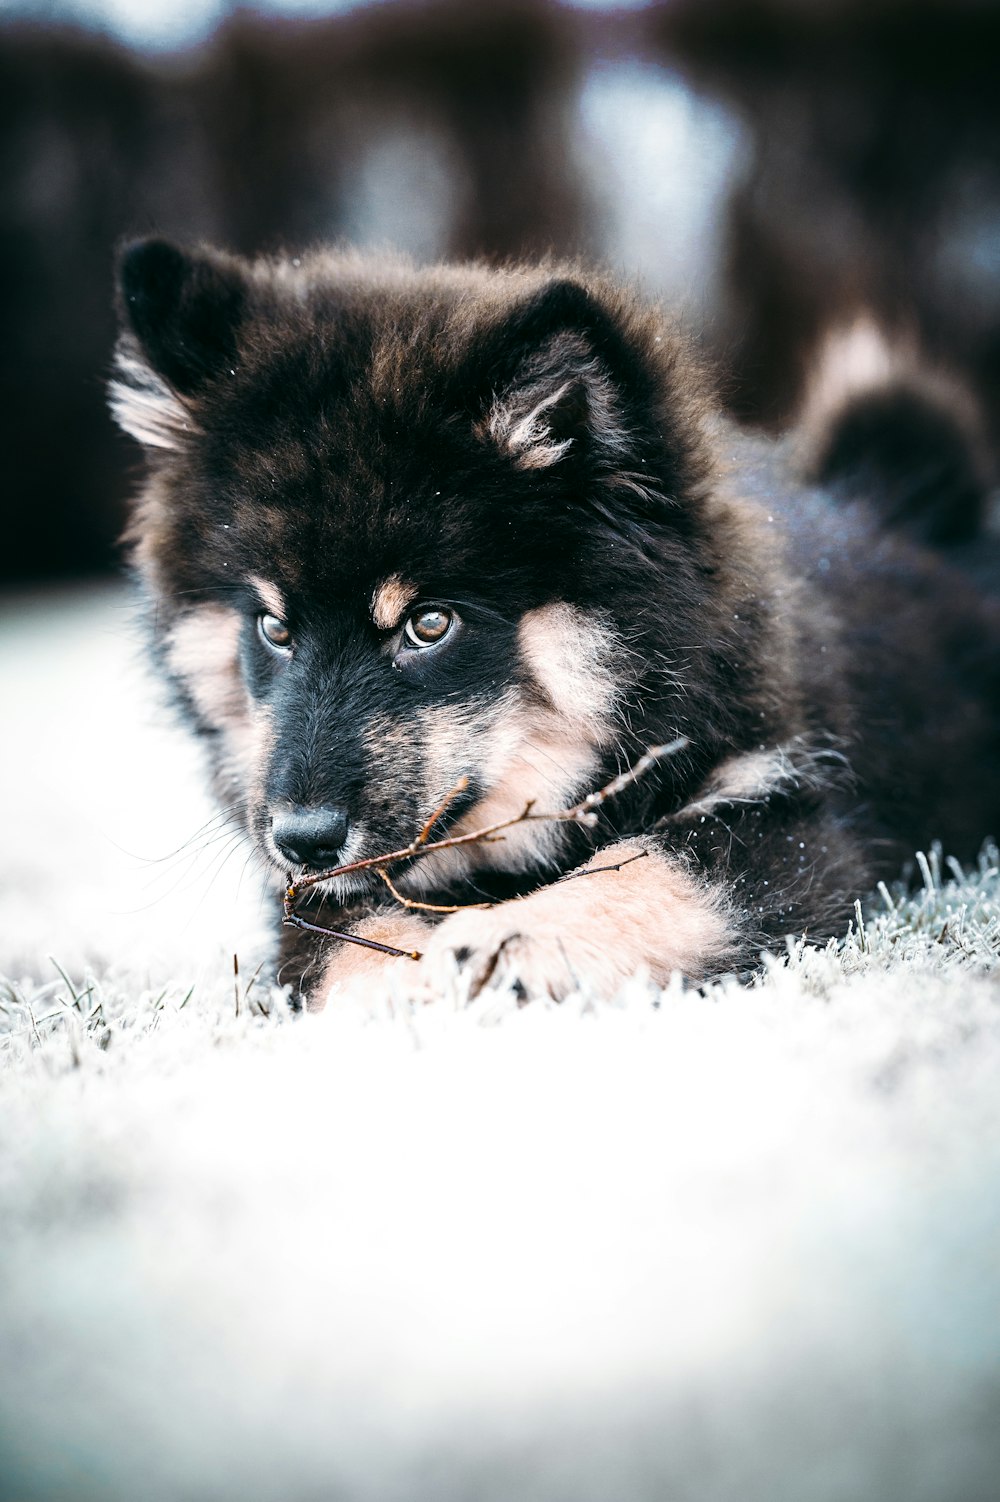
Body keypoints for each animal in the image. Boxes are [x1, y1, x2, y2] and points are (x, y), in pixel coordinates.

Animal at [108, 237, 996, 1009]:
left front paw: (513, 941)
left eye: (429, 624)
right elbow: (344, 951)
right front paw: (412, 979)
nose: (301, 837)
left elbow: (652, 869)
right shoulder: (308, 903)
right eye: (273, 627)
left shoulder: (790, 814)